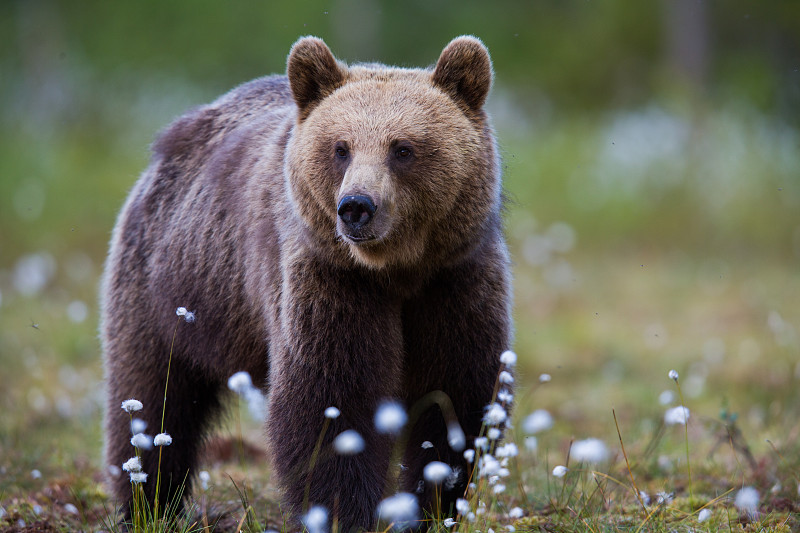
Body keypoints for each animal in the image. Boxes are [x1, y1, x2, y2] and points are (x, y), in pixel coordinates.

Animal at [101, 35, 512, 528]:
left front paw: (437, 506)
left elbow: (458, 394)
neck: (396, 270)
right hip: (171, 284)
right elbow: (330, 400)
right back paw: (147, 503)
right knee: (153, 398)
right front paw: (343, 514)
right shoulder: (329, 279)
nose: (356, 206)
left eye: (403, 148)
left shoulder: (454, 280)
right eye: (341, 147)